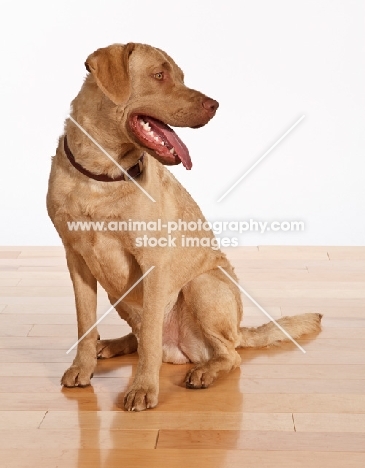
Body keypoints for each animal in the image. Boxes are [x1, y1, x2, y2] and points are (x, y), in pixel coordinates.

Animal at [46, 43, 322, 410]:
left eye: (180, 76)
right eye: (159, 75)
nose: (215, 105)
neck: (103, 174)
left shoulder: (153, 264)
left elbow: (149, 338)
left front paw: (143, 388)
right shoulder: (76, 261)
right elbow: (85, 324)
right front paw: (82, 367)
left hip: (203, 285)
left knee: (227, 354)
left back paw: (204, 371)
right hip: (118, 295)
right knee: (139, 338)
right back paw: (113, 345)